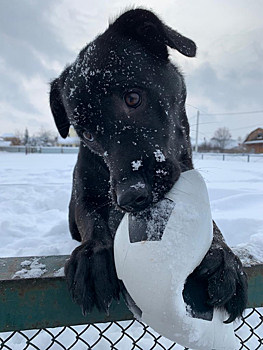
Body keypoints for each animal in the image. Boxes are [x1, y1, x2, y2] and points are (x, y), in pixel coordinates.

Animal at [50, 8, 249, 322]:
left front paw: (222, 257)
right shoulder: (82, 197)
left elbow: (209, 224)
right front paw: (93, 257)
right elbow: (90, 218)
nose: (130, 197)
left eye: (133, 97)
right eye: (87, 134)